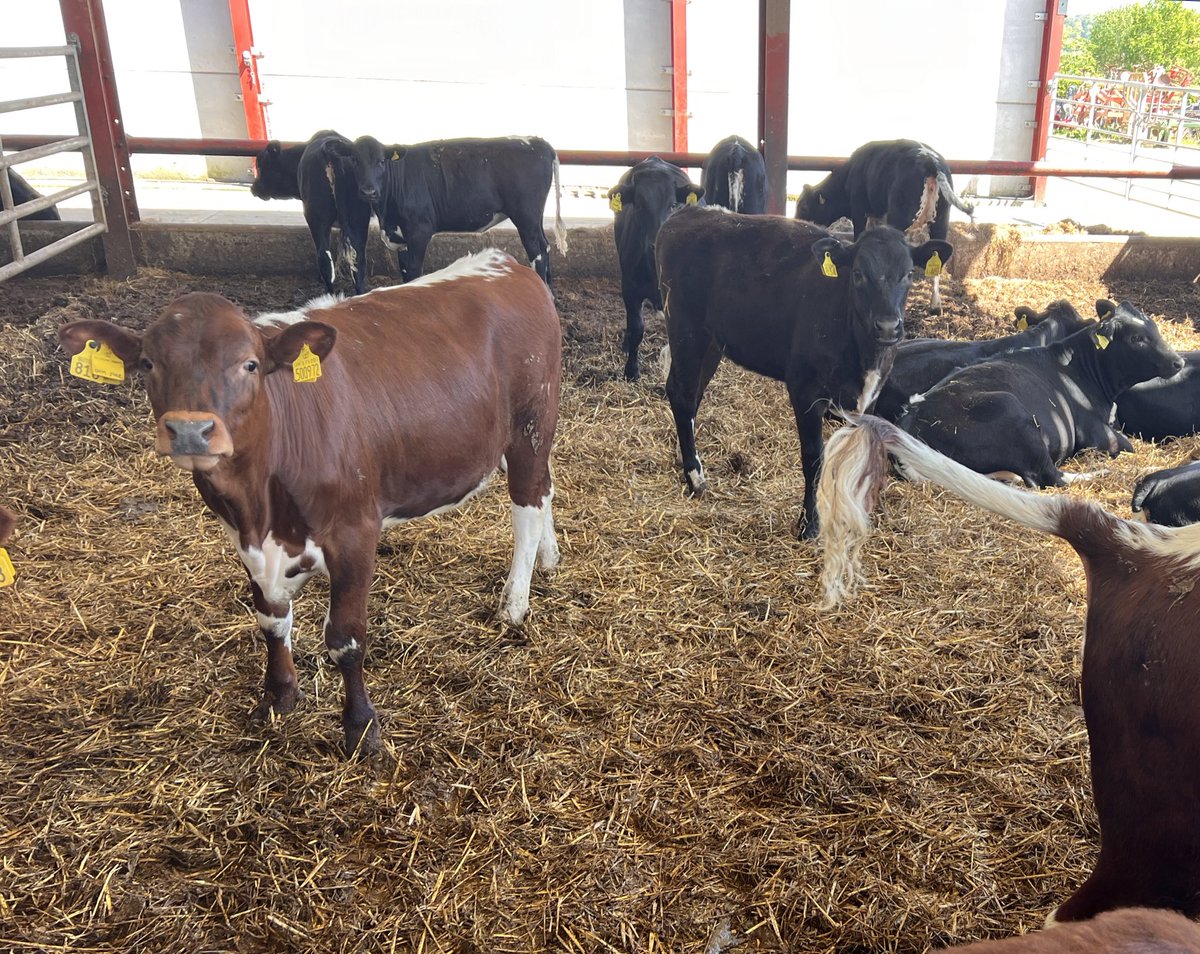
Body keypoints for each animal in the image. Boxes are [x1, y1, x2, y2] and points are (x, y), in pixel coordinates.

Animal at [63, 249, 568, 758]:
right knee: (545, 489)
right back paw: (549, 558)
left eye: (249, 364)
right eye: (147, 363)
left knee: (527, 504)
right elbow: (271, 620)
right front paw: (279, 695)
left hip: (532, 425)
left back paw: (514, 602)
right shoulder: (244, 540)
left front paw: (360, 727)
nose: (189, 430)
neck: (260, 504)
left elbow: (346, 639)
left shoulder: (355, 532)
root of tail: (502, 261)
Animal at [902, 302, 1180, 489]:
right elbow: (1128, 446)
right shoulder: (1095, 433)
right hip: (1014, 413)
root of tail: (912, 420)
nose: (1177, 361)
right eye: (1137, 338)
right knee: (1051, 477)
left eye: (1156, 328)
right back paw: (1110, 472)